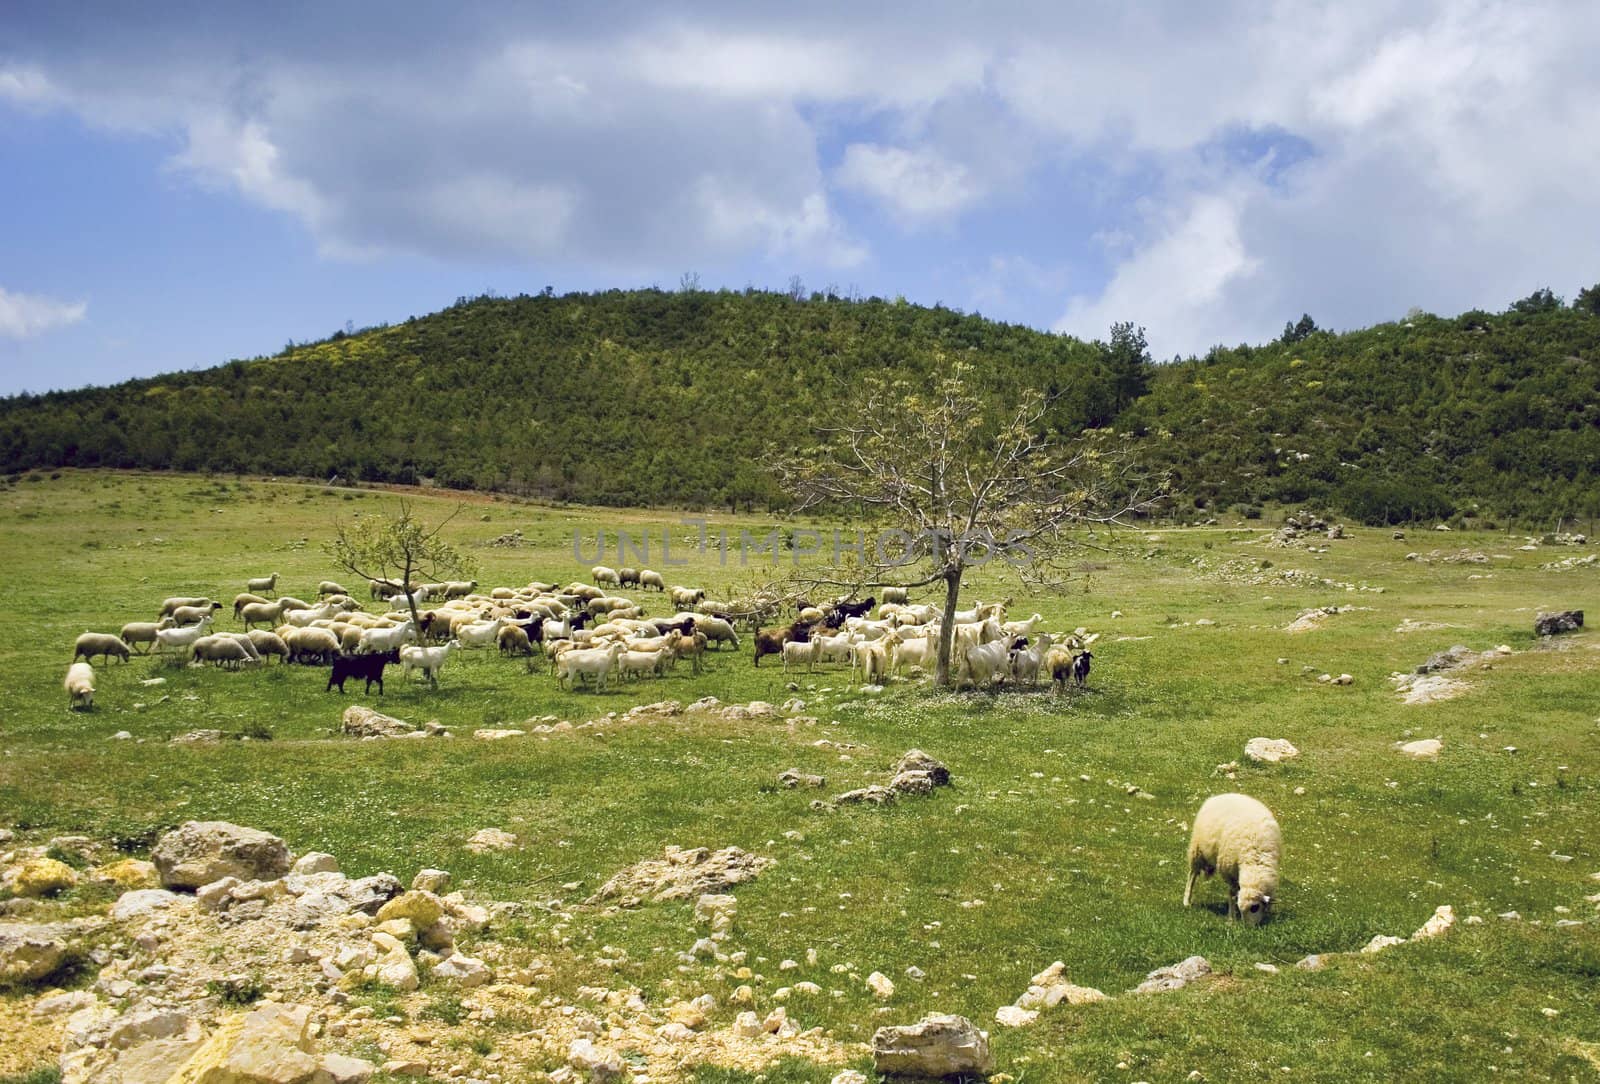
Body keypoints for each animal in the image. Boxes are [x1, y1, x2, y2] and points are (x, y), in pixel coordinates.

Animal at [1190, 793, 1286, 927]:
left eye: (1254, 908)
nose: (1248, 928)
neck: (1254, 861)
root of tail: (1221, 795)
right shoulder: (1229, 873)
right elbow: (1231, 894)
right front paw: (1232, 919)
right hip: (1197, 849)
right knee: (1192, 875)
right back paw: (1186, 901)